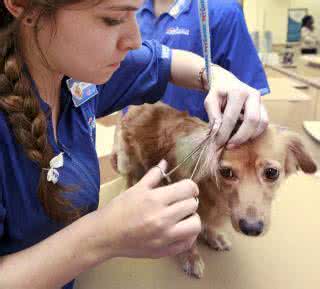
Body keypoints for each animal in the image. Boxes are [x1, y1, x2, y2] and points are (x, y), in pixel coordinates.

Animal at [110, 101, 318, 276]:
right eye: (226, 172)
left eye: (272, 173)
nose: (251, 228)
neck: (217, 195)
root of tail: (138, 105)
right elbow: (190, 239)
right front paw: (191, 257)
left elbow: (208, 225)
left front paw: (212, 236)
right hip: (128, 160)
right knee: (129, 176)